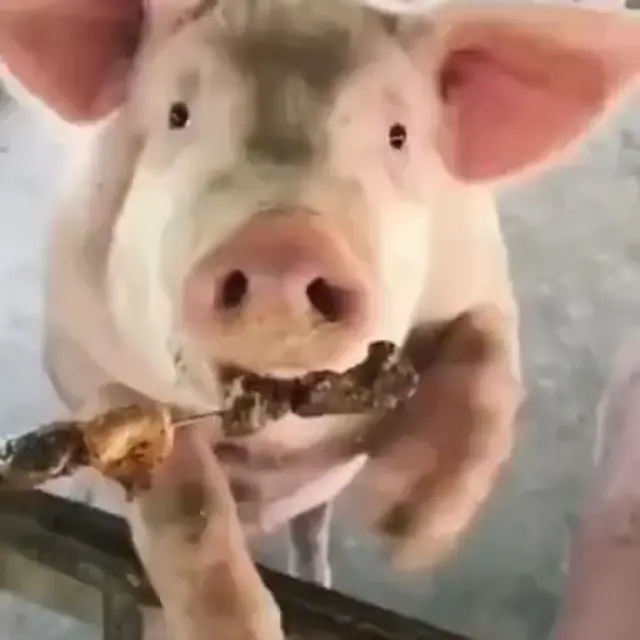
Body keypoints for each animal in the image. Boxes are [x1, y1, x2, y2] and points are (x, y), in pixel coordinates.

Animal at [36, 0, 640, 637]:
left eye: (398, 136)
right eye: (178, 114)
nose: (282, 241)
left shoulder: (482, 275)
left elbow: (489, 371)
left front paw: (402, 524)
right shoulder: (75, 344)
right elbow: (182, 490)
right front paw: (243, 627)